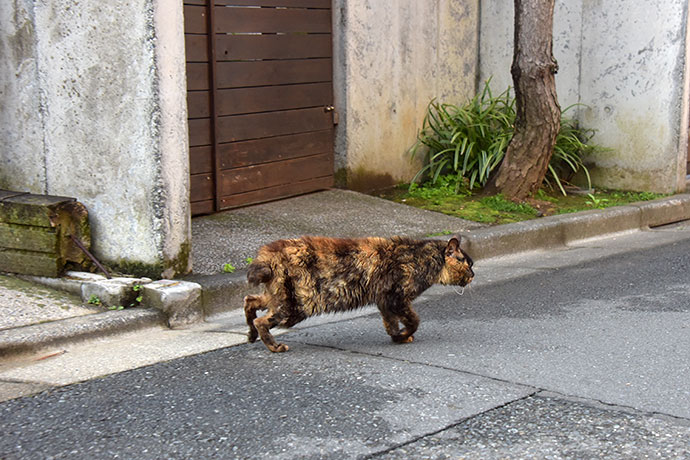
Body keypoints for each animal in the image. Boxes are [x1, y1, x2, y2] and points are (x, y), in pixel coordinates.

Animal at [242, 235, 472, 354]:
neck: (422, 257)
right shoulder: (396, 298)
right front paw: (404, 334)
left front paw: (397, 337)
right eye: (468, 264)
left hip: (279, 297)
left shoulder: (384, 301)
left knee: (250, 301)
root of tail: (269, 254)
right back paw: (274, 346)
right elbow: (414, 320)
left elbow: (391, 322)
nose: (473, 275)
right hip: (296, 306)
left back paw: (250, 335)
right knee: (262, 320)